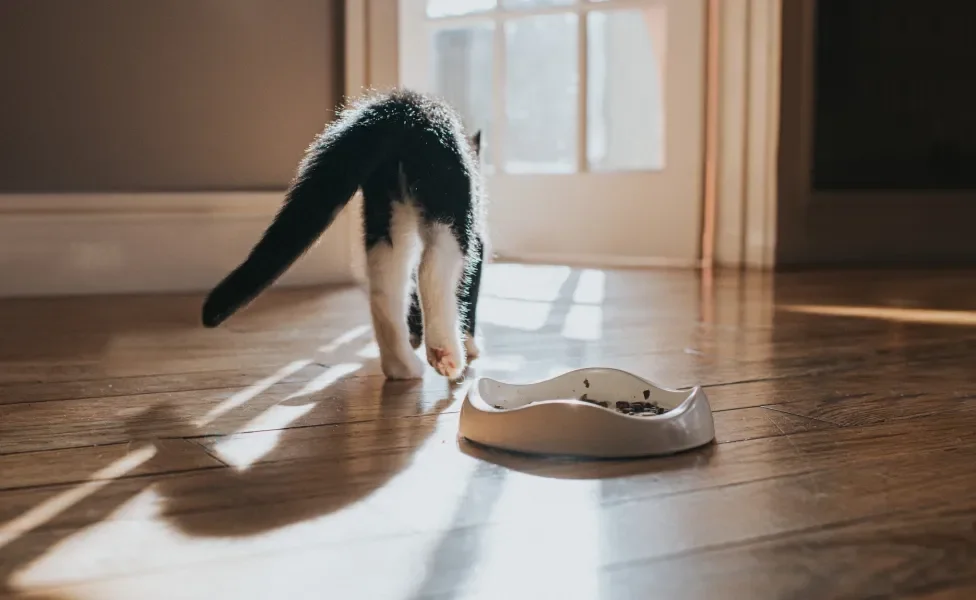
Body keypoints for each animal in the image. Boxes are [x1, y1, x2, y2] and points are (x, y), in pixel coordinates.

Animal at [200, 89, 486, 380]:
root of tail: (404, 105)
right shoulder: (479, 243)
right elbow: (469, 293)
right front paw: (470, 344)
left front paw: (415, 337)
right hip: (449, 201)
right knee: (432, 266)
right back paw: (445, 354)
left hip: (385, 210)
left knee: (385, 288)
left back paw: (402, 366)